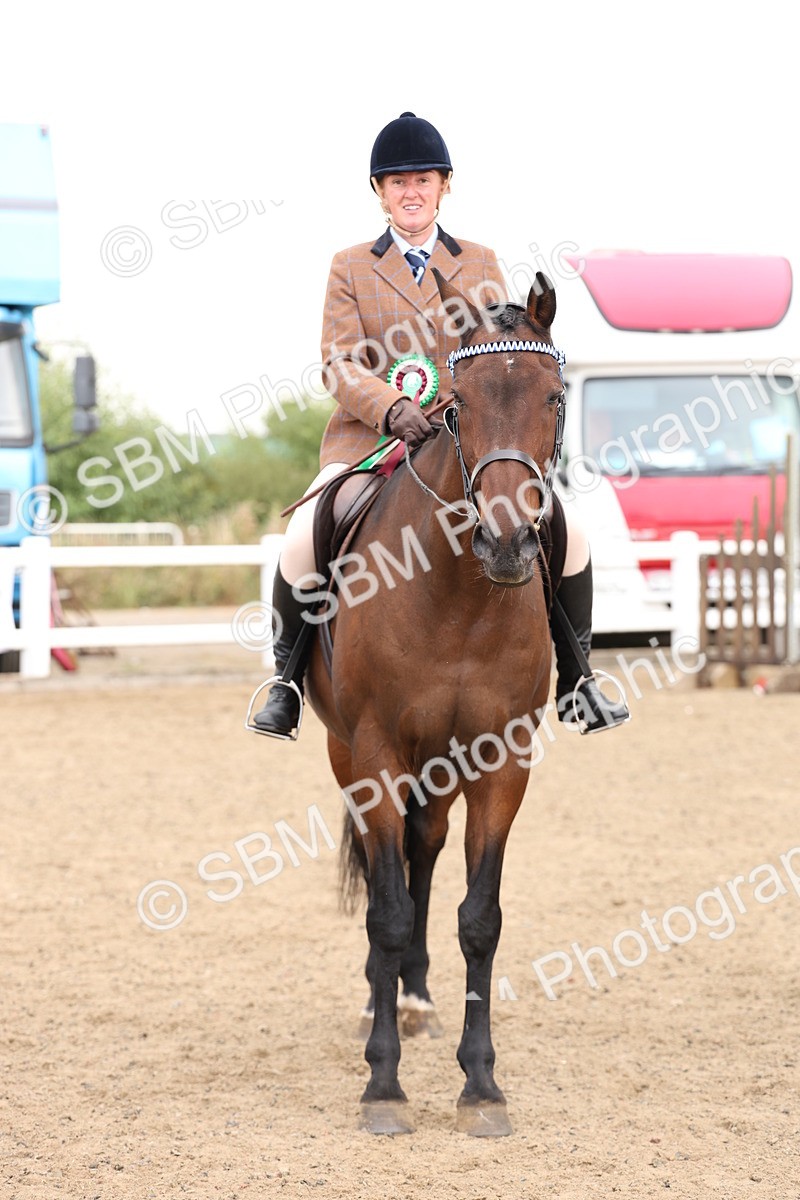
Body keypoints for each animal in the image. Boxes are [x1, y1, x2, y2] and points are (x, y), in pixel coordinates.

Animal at [305, 268, 566, 1137]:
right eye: (460, 403)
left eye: (554, 396)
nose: (508, 543)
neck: (458, 593)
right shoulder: (375, 751)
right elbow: (384, 913)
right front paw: (383, 1086)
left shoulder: (502, 759)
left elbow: (478, 918)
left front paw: (481, 1085)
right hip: (354, 755)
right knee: (389, 867)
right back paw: (386, 1002)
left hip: (442, 764)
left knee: (423, 847)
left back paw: (416, 996)